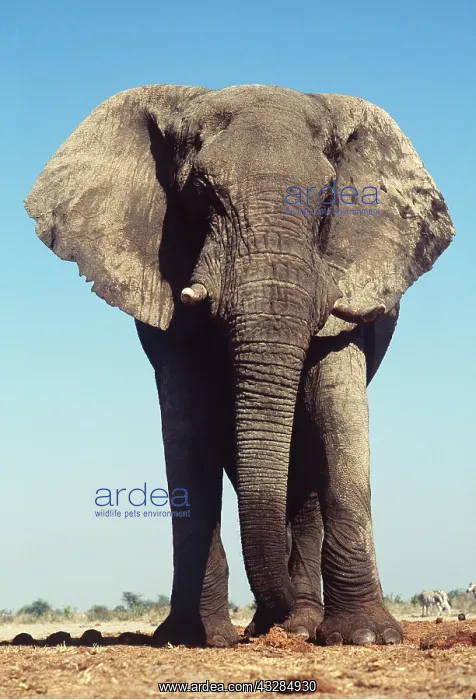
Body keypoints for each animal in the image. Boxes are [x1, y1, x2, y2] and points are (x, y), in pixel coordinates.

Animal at [25, 84, 455, 647]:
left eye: (328, 198)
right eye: (201, 194)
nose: (278, 615)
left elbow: (339, 414)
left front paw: (365, 637)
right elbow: (187, 431)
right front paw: (192, 636)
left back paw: (304, 622)